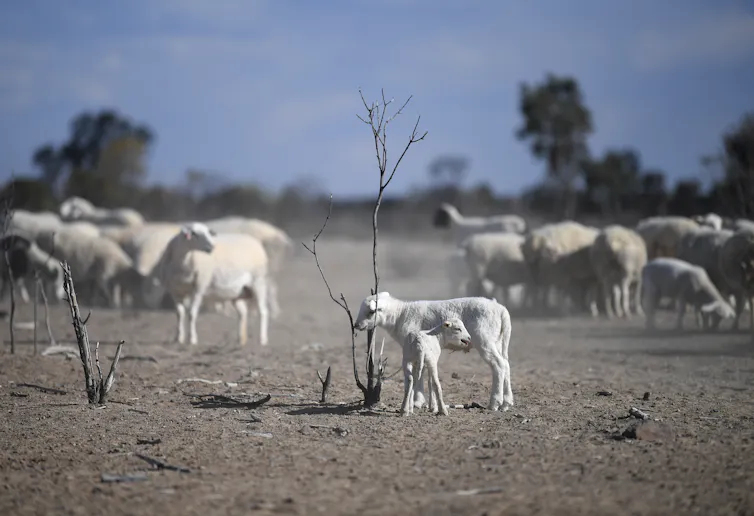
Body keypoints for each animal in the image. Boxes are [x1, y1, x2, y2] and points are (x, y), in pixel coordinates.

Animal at [353, 292, 513, 412]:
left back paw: (494, 403)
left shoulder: (416, 348)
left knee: (499, 365)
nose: (356, 325)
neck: (400, 315)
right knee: (506, 364)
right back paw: (506, 403)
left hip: (485, 339)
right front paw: (420, 401)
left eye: (371, 312)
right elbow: (421, 371)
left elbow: (417, 372)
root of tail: (501, 310)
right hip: (498, 341)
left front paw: (417, 402)